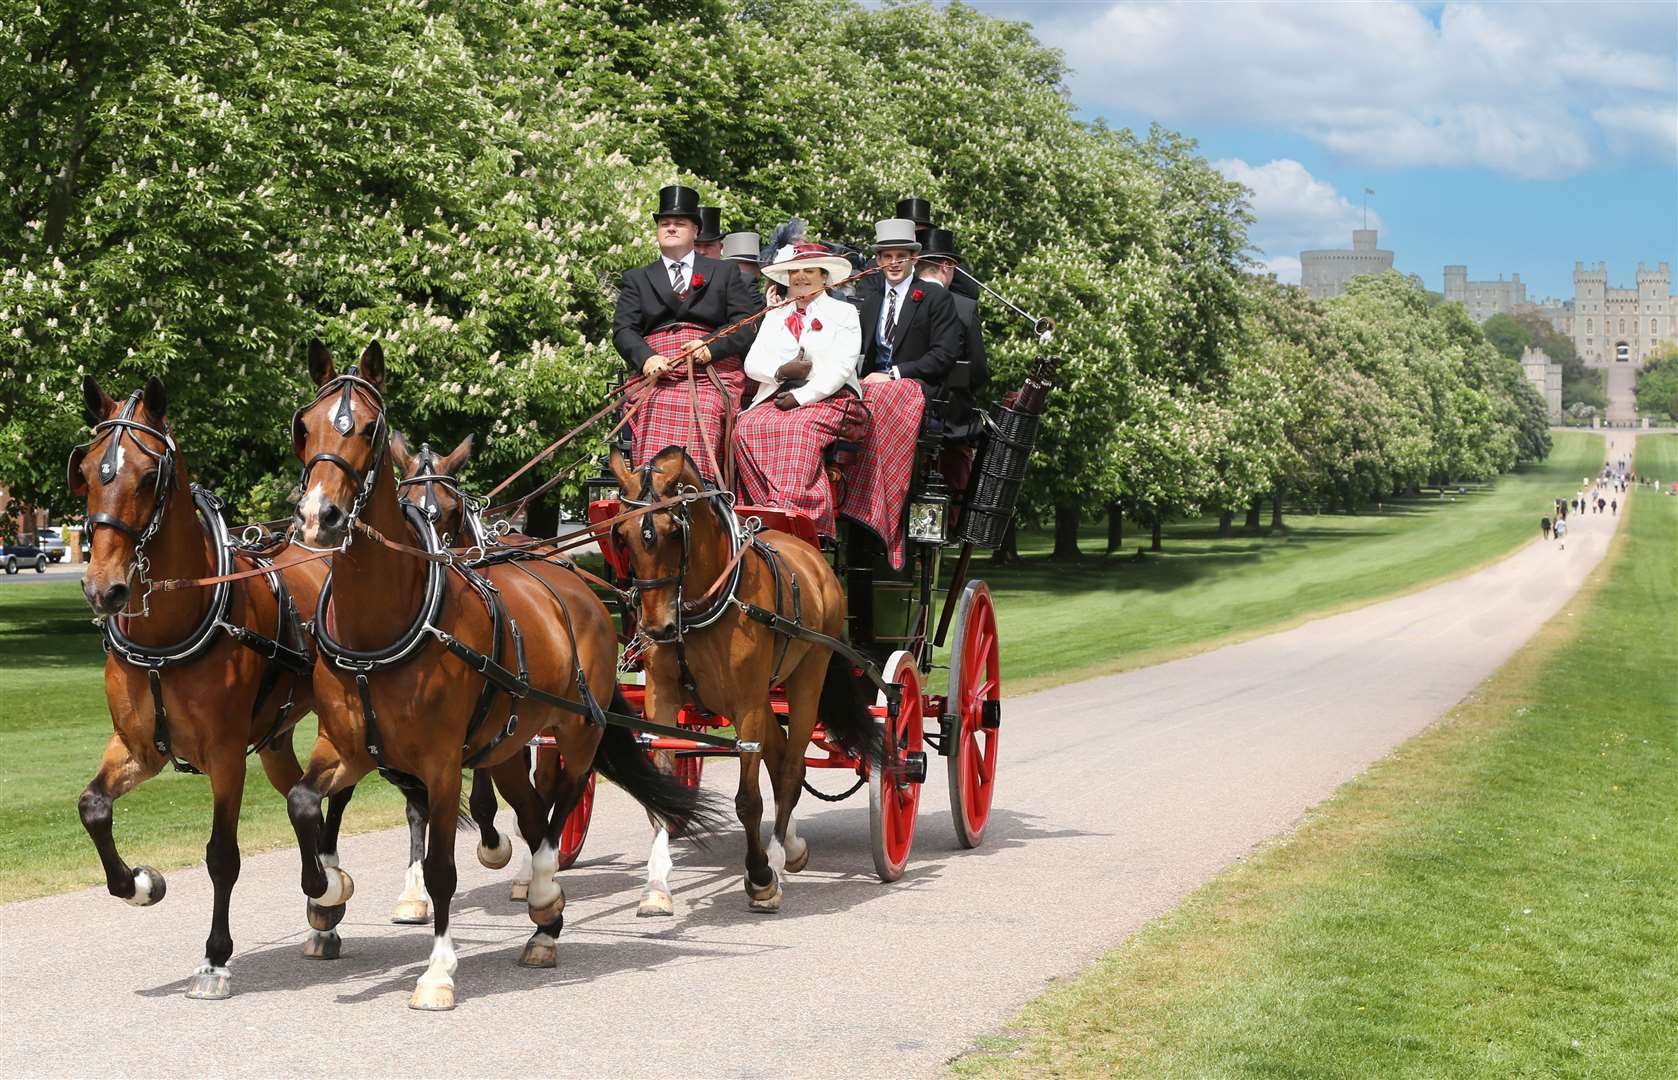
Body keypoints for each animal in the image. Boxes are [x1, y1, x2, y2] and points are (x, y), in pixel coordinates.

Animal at [69, 375, 323, 999]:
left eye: (148, 476)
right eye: (84, 471)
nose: (103, 589)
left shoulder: (226, 755)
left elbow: (222, 855)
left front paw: (215, 957)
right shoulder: (139, 748)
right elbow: (93, 808)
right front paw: (140, 883)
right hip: (276, 737)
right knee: (301, 799)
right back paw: (324, 900)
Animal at [290, 342, 721, 1006]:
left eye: (368, 428)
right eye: (305, 426)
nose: (321, 516)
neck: (384, 624)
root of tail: (576, 584)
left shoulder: (442, 761)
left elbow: (443, 864)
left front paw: (438, 970)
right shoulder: (345, 745)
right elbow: (304, 802)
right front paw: (327, 891)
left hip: (578, 728)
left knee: (562, 802)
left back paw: (543, 892)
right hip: (511, 741)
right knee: (534, 807)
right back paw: (541, 919)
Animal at [607, 446, 892, 912]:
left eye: (672, 531)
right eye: (623, 534)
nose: (658, 628)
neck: (703, 604)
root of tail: (815, 559)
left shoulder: (746, 702)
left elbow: (748, 801)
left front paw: (760, 877)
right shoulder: (661, 697)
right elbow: (661, 789)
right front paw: (656, 887)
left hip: (804, 678)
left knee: (791, 769)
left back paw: (777, 855)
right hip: (763, 699)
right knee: (780, 758)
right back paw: (791, 845)